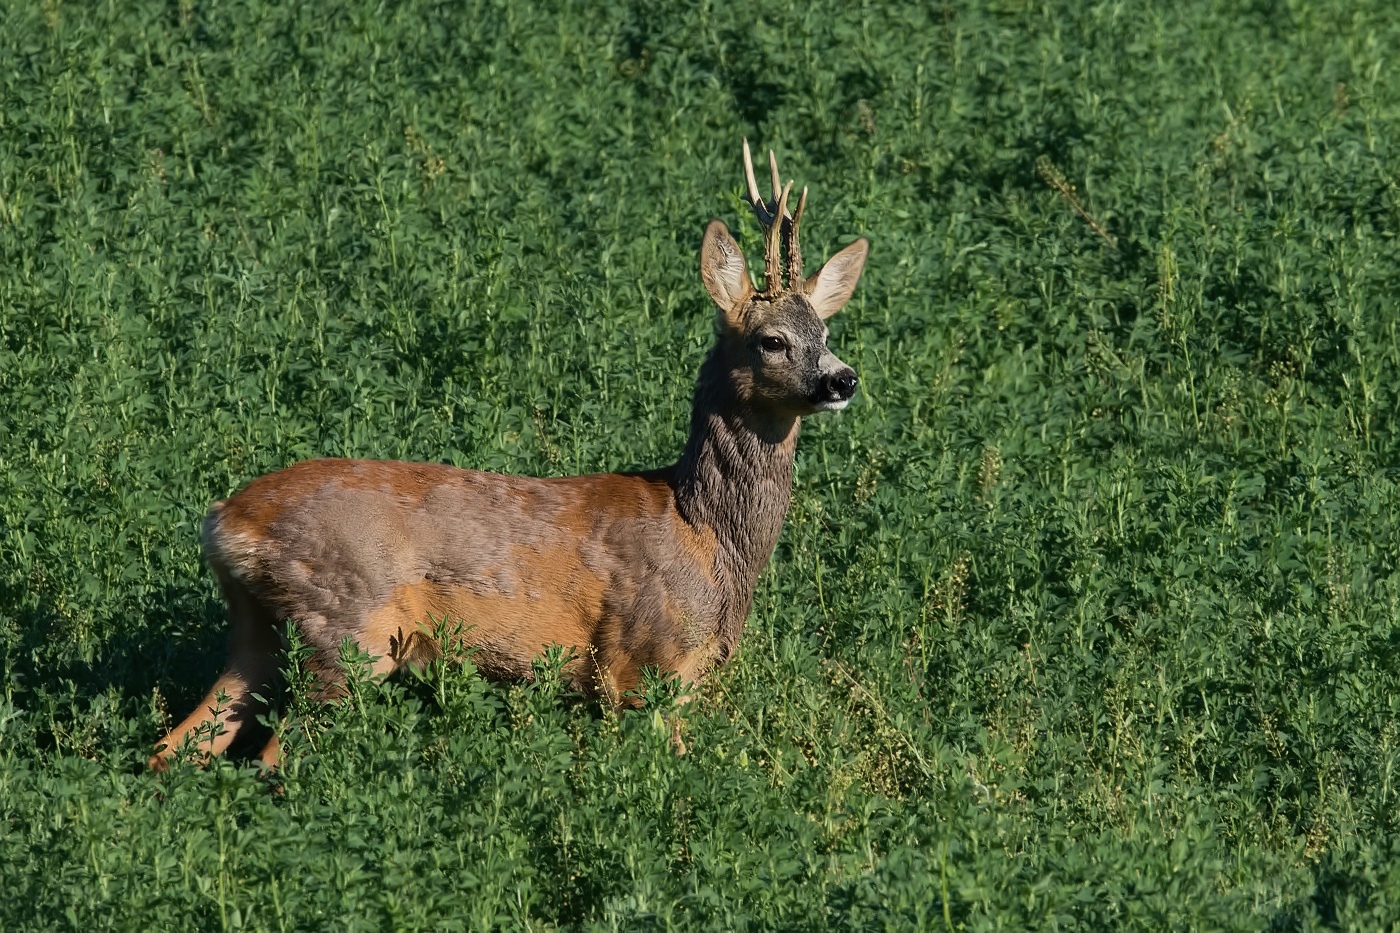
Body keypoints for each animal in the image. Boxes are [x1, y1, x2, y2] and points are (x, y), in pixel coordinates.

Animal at [158, 136, 868, 762]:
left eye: (827, 332)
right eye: (772, 340)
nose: (843, 379)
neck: (702, 534)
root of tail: (225, 522)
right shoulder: (643, 666)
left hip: (257, 632)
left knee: (179, 746)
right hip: (345, 630)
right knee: (274, 755)